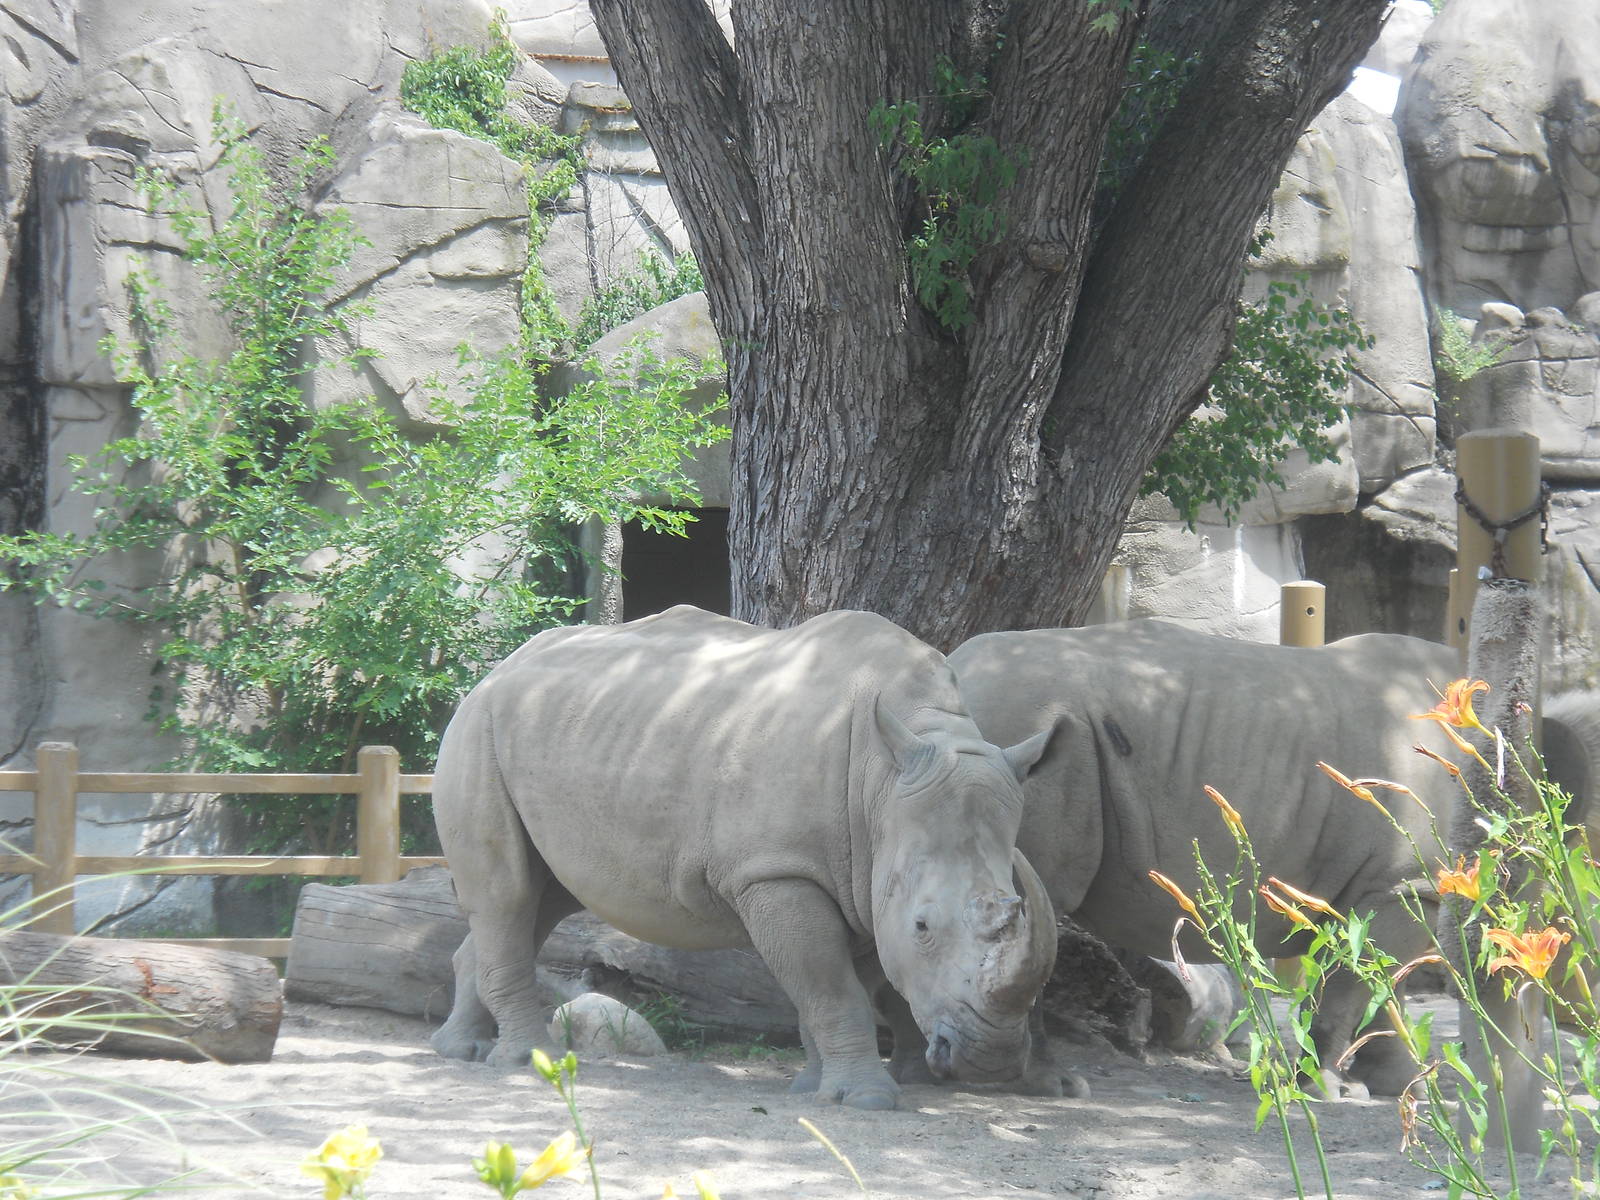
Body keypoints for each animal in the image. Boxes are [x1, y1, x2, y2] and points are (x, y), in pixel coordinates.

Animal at [428, 605, 1059, 1109]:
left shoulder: (861, 879)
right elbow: (832, 989)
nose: (992, 1060)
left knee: (541, 898)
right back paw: (527, 1063)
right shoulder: (778, 872)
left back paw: (460, 1049)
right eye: (923, 927)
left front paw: (812, 1087)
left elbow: (831, 987)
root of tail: (496, 670)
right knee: (508, 894)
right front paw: (867, 1100)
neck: (883, 783)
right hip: (477, 728)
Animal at [941, 620, 1595, 1097]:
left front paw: (1395, 1085)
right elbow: (1365, 983)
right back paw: (1042, 1083)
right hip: (1016, 722)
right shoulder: (1405, 884)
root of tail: (952, 668)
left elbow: (1381, 987)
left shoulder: (1389, 888)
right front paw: (1330, 1091)